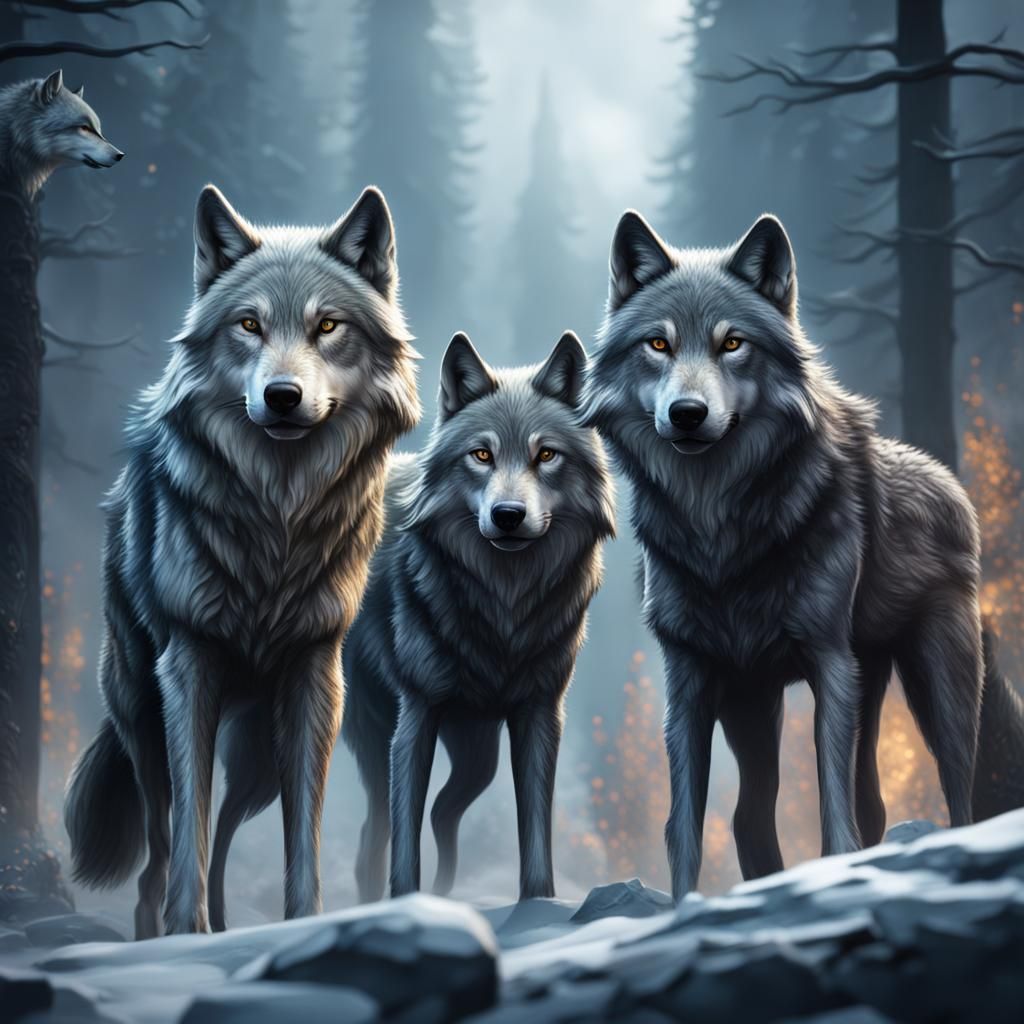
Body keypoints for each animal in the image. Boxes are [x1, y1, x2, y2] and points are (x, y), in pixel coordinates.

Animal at [64, 184, 421, 936]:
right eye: (250, 325)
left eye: (328, 326)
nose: (282, 396)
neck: (277, 518)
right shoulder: (188, 666)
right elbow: (187, 824)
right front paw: (184, 929)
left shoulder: (318, 676)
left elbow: (302, 830)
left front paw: (302, 921)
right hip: (144, 718)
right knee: (164, 837)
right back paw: (158, 929)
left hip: (256, 754)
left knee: (228, 826)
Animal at [340, 331, 615, 902]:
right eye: (482, 455)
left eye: (546, 455)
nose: (507, 515)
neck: (503, 603)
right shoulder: (416, 716)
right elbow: (404, 836)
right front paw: (408, 903)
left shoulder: (540, 713)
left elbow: (535, 825)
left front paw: (538, 903)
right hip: (379, 738)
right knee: (375, 832)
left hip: (477, 758)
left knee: (444, 813)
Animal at [583, 209, 1024, 899]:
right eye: (658, 345)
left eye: (732, 343)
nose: (687, 414)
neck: (721, 531)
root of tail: (951, 485)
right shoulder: (689, 678)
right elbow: (684, 826)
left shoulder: (829, 663)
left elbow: (834, 810)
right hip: (760, 705)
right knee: (758, 816)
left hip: (936, 690)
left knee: (955, 796)